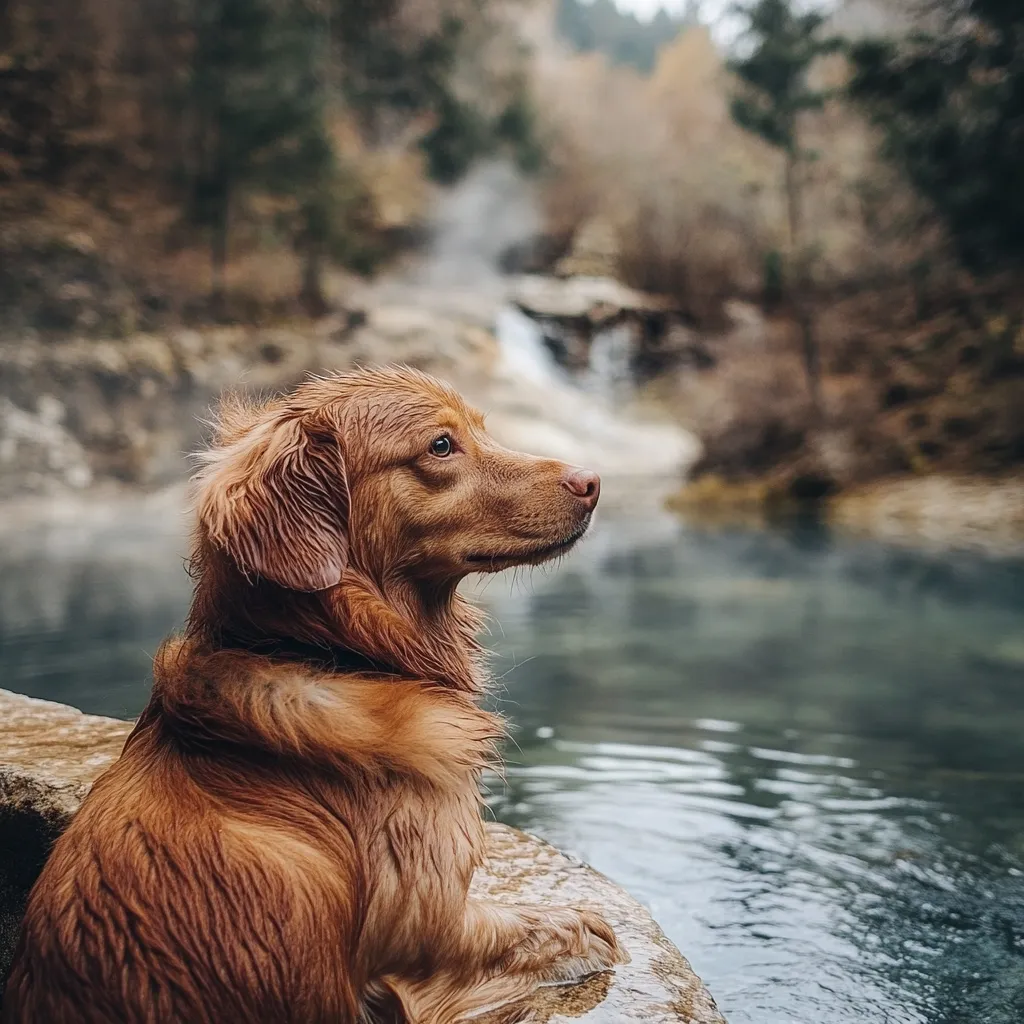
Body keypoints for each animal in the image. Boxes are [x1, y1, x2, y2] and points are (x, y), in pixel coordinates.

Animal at [4, 370, 622, 1024]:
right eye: (441, 445)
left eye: (481, 429)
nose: (591, 482)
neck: (323, 656)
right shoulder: (423, 940)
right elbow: (556, 928)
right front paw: (586, 933)